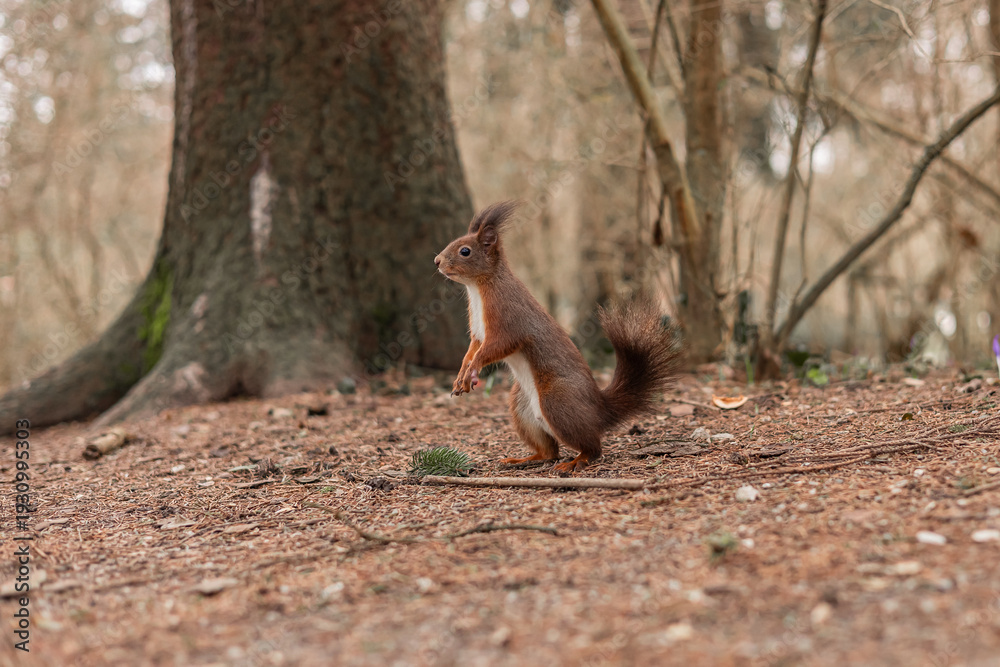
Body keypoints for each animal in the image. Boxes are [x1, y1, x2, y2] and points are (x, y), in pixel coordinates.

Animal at [434, 201, 681, 473]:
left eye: (465, 251)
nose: (436, 261)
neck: (478, 288)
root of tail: (599, 410)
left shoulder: (507, 320)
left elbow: (494, 348)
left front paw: (473, 371)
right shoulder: (478, 332)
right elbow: (472, 350)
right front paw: (461, 375)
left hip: (557, 401)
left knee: (592, 448)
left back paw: (576, 462)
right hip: (521, 407)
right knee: (549, 451)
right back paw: (522, 460)